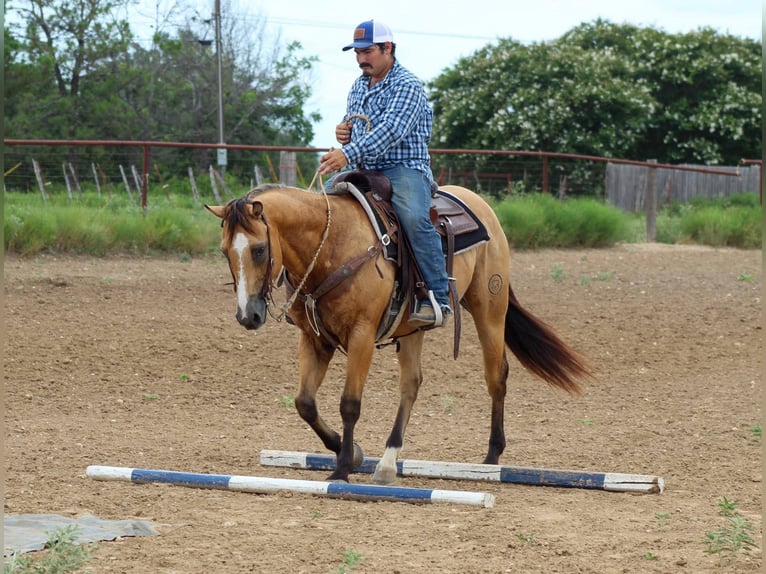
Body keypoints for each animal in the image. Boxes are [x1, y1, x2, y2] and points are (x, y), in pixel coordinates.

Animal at [206, 181, 592, 484]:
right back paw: (389, 462)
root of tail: (479, 204)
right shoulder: (314, 339)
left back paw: (491, 459)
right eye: (225, 251)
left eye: (259, 249)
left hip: (490, 311)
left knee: (496, 376)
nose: (248, 315)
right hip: (412, 329)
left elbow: (349, 404)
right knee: (411, 384)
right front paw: (352, 453)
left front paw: (342, 468)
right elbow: (304, 403)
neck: (333, 247)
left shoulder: (361, 335)